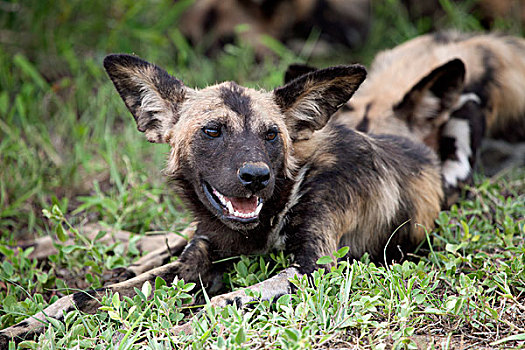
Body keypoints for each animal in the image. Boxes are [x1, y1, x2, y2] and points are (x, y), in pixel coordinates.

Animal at [0, 54, 442, 348]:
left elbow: (226, 300)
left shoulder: (314, 268)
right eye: (212, 131)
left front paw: (175, 332)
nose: (256, 176)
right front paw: (21, 327)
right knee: (155, 245)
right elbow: (83, 296)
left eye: (271, 135)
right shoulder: (193, 266)